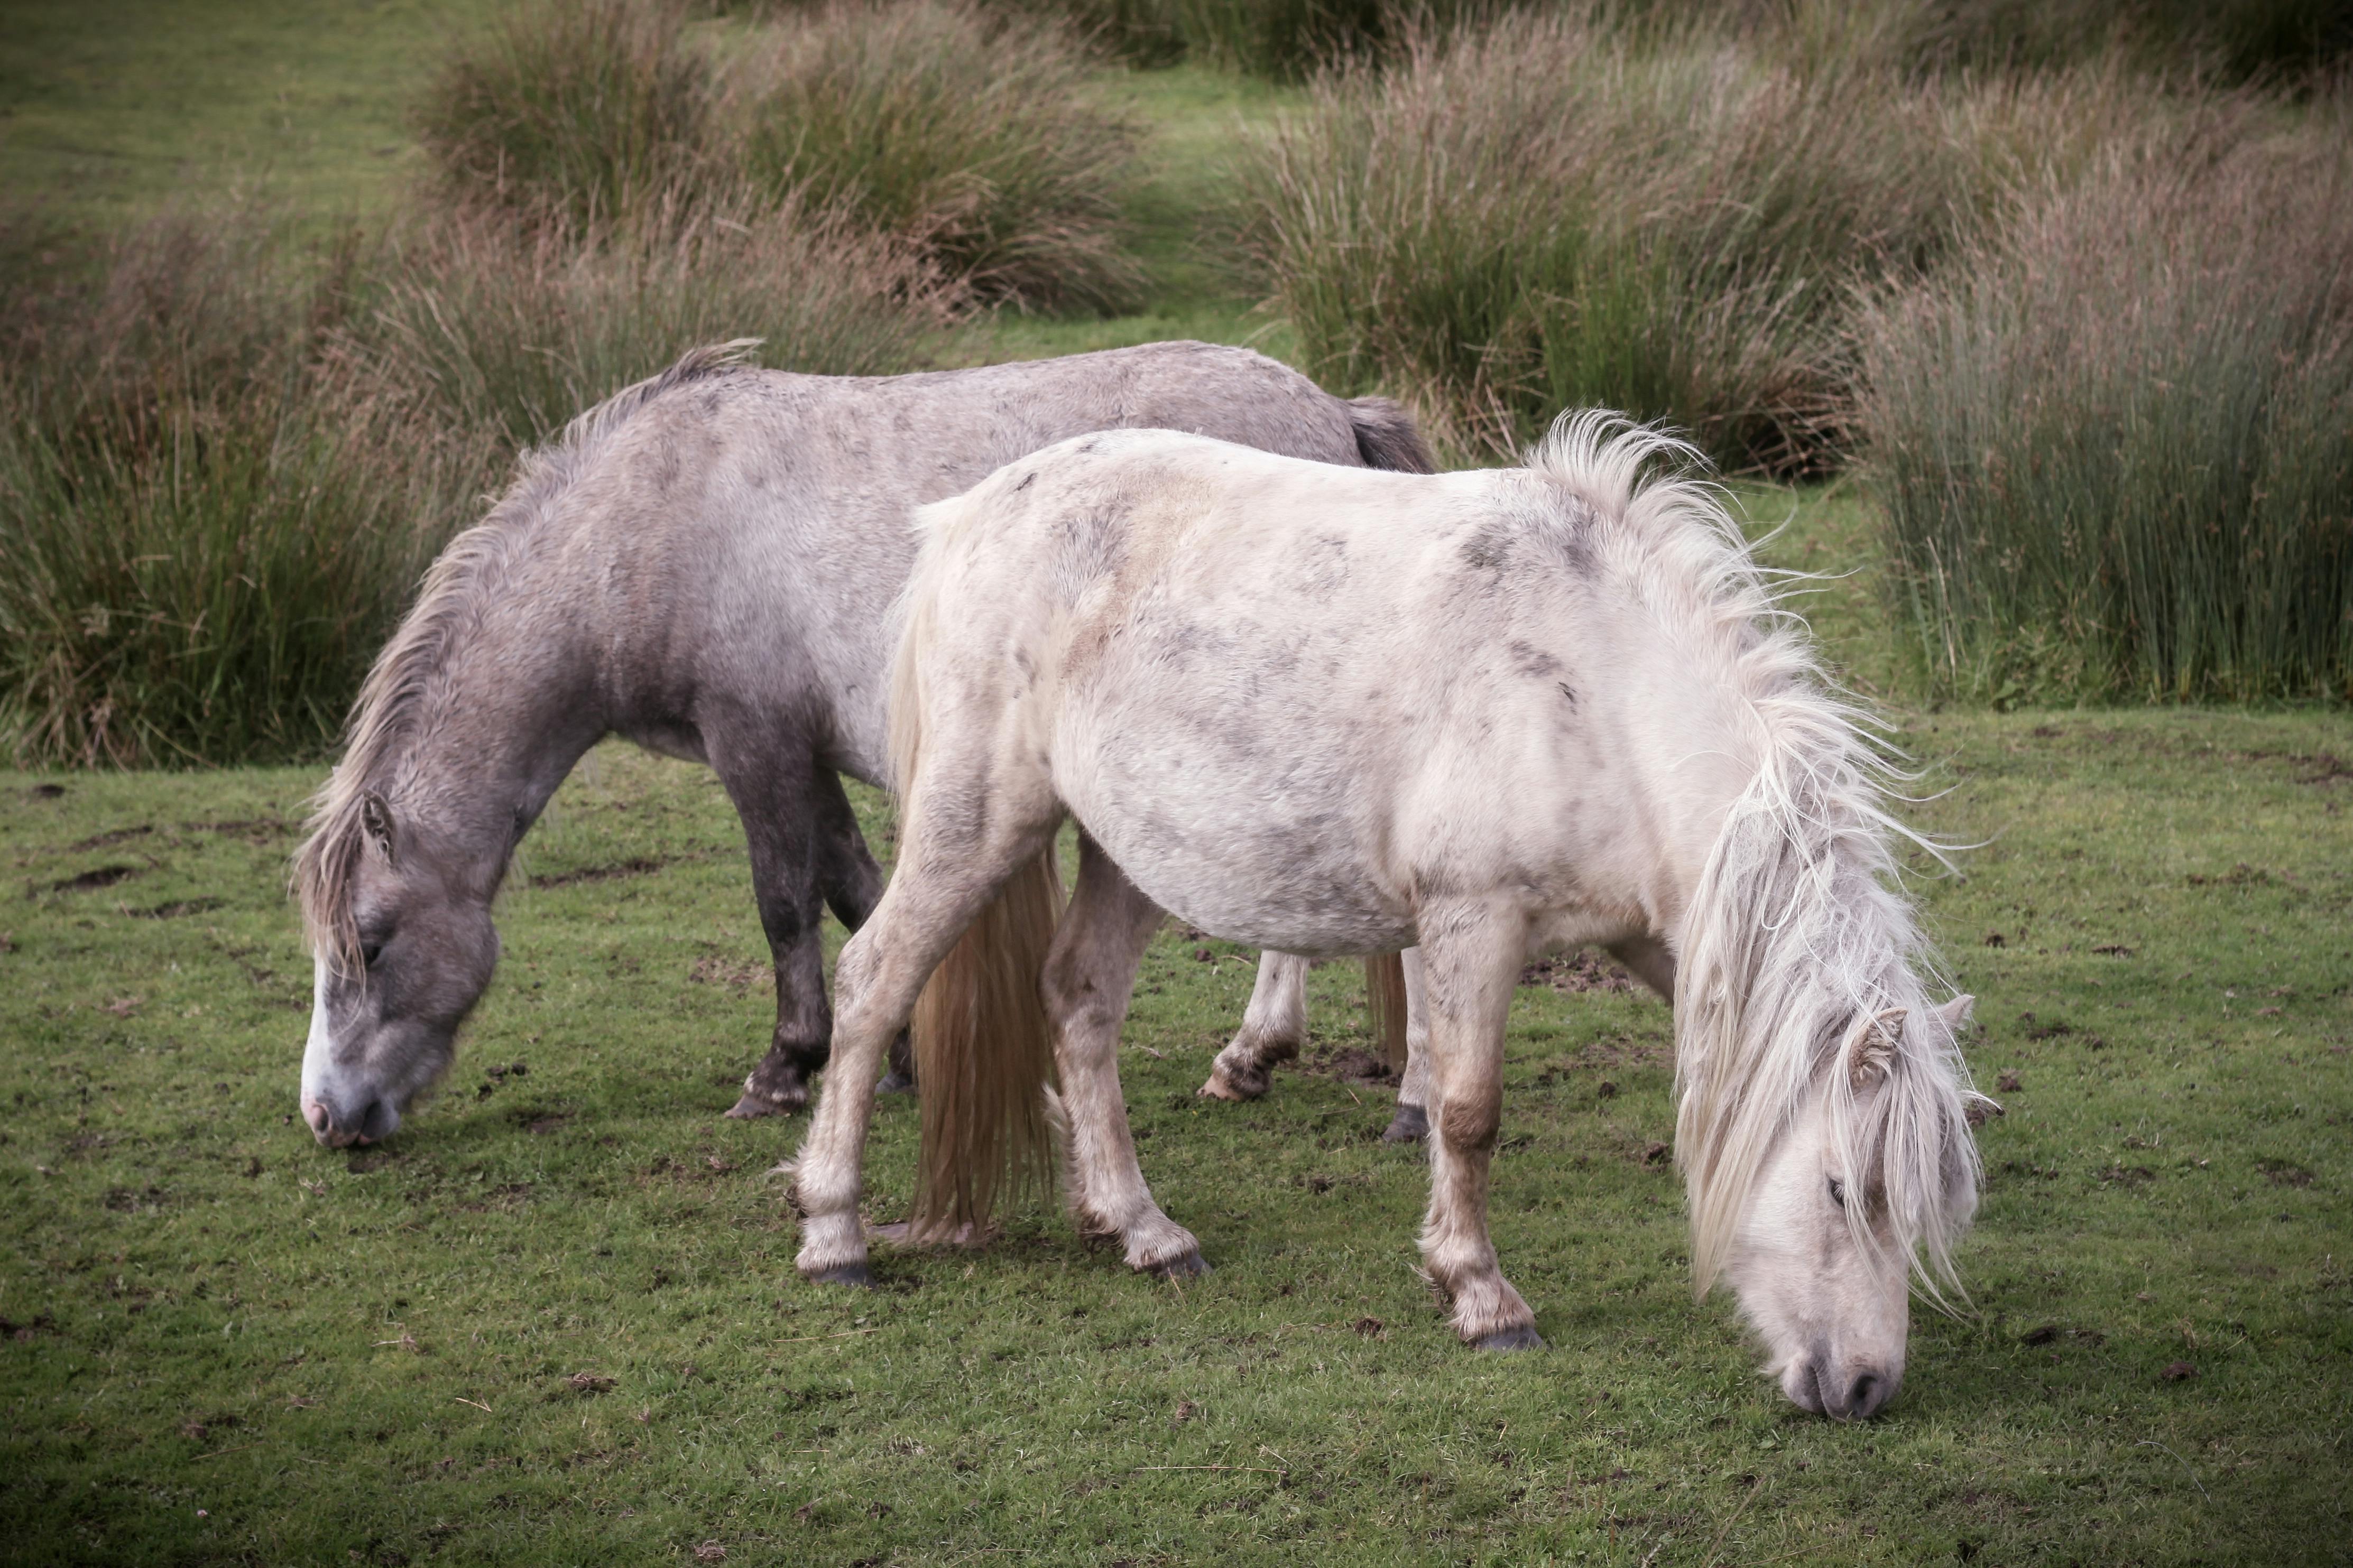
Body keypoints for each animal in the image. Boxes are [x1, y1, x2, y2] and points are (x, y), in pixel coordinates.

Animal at [284, 343, 1421, 1152]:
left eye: (372, 942)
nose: (327, 1117)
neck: (649, 524)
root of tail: (1332, 411)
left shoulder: (754, 745)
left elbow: (785, 904)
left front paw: (784, 1069)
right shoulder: (810, 757)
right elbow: (858, 892)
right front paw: (905, 1054)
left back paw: (1368, 1088)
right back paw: (1262, 1061)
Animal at [790, 416, 1986, 1419]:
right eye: (1843, 1188)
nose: (1866, 1386)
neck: (1601, 695)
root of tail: (970, 515)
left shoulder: (1660, 939)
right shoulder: (1471, 920)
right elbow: (1465, 1113)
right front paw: (1480, 1294)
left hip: (1128, 847)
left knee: (1078, 999)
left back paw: (1143, 1229)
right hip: (976, 817)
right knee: (875, 980)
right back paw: (834, 1233)